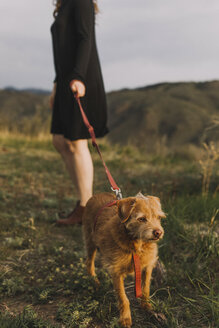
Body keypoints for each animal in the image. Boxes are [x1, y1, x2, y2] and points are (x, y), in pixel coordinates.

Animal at [82, 191, 166, 326]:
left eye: (159, 217)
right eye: (141, 219)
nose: (158, 232)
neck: (137, 245)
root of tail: (97, 194)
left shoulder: (147, 267)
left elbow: (145, 289)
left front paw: (146, 306)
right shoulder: (116, 272)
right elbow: (123, 298)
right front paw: (125, 318)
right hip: (90, 241)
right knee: (89, 262)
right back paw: (94, 282)